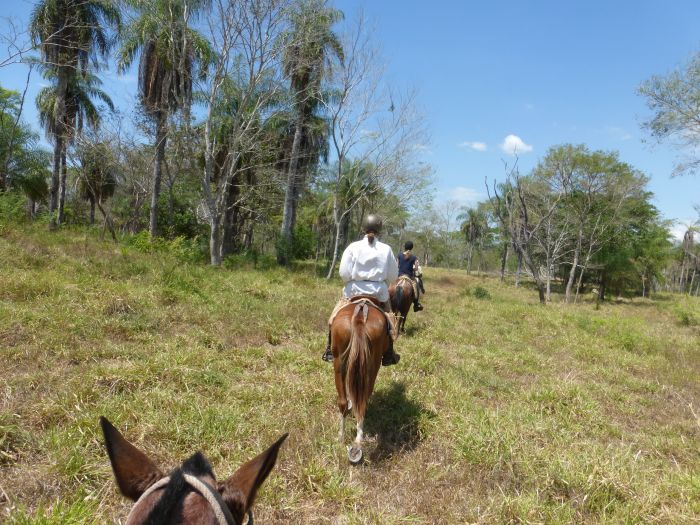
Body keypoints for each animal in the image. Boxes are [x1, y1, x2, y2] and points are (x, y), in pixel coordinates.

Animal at [330, 296, 392, 460]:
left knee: (344, 402)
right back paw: (358, 439)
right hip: (373, 365)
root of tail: (359, 317)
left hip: (339, 361)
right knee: (363, 399)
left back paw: (342, 436)